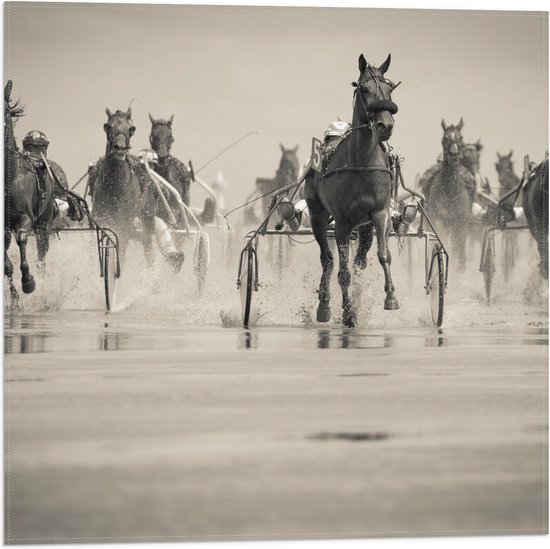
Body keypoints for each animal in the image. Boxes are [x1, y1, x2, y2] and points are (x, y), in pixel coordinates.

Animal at [88, 107, 157, 266]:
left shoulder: (123, 225)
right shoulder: (100, 219)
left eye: (130, 128)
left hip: (147, 217)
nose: (119, 148)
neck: (114, 188)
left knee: (148, 245)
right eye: (109, 126)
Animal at [306, 53, 402, 328]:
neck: (362, 163)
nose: (385, 125)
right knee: (327, 260)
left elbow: (383, 255)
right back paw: (324, 306)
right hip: (317, 215)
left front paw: (390, 297)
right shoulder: (341, 222)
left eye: (390, 89)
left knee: (360, 258)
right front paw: (348, 313)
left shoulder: (380, 214)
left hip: (365, 225)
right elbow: (342, 272)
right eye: (365, 89)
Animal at [424, 119, 476, 268]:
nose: (453, 155)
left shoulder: (460, 223)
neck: (450, 191)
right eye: (444, 138)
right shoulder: (439, 221)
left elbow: (461, 254)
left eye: (461, 137)